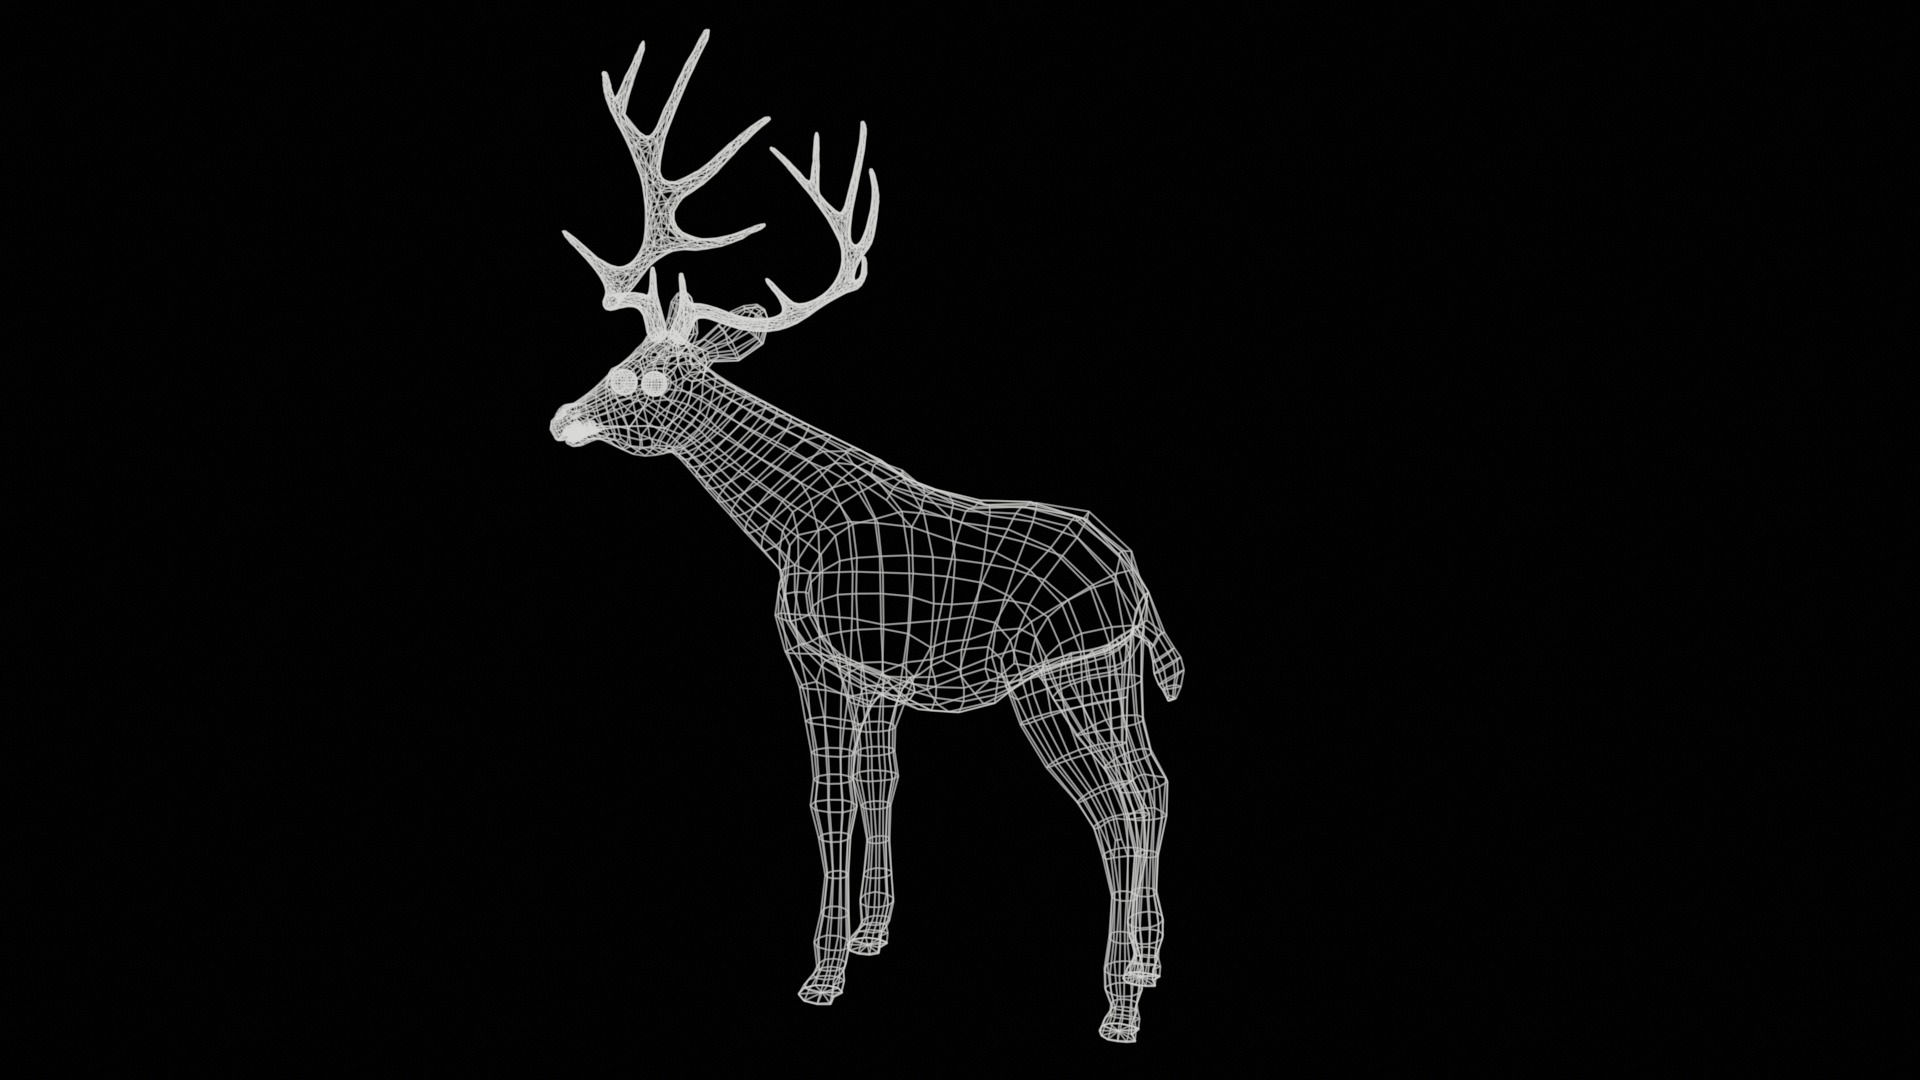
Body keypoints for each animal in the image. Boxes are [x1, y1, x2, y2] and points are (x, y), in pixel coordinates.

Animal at [547, 30, 1184, 1044]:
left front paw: (822, 973)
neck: (791, 528)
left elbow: (829, 797)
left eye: (646, 378)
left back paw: (1119, 1004)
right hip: (1114, 678)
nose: (563, 419)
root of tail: (1137, 587)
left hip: (1058, 682)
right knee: (1153, 787)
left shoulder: (826, 658)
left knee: (1113, 810)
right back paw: (1152, 966)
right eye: (620, 356)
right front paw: (874, 935)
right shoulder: (881, 681)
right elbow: (880, 785)